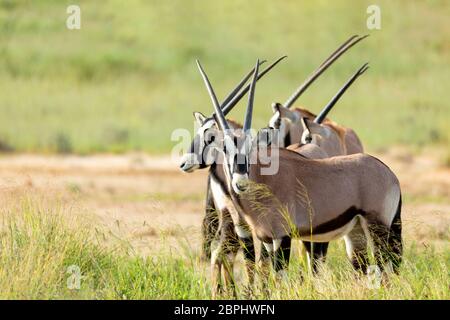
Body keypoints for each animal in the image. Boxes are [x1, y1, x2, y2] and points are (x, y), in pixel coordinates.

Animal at [195, 58, 402, 284]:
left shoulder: (282, 237)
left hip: (378, 228)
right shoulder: (268, 240)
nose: (240, 182)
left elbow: (280, 277)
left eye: (251, 148)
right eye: (225, 149)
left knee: (386, 267)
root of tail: (390, 174)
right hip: (356, 232)